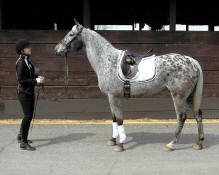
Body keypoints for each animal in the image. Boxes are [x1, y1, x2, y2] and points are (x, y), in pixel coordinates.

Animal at [54, 20, 204, 152]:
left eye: (71, 34)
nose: (57, 50)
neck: (107, 60)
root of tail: (191, 61)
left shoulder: (114, 97)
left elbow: (119, 120)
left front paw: (120, 145)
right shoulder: (111, 97)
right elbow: (114, 118)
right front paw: (113, 140)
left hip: (179, 97)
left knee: (182, 117)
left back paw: (171, 144)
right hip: (189, 97)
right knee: (198, 115)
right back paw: (198, 143)